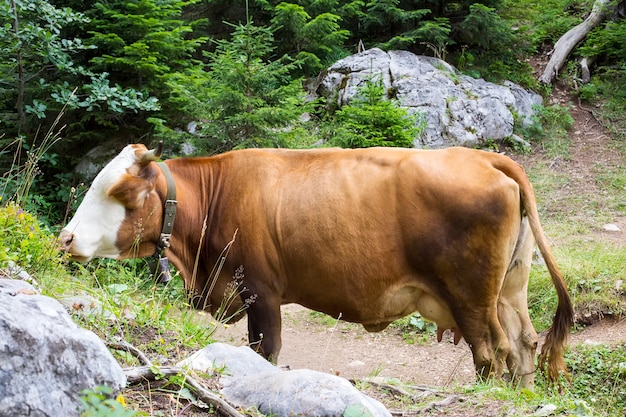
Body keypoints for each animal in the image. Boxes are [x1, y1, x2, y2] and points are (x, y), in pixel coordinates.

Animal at [59, 143, 572, 386]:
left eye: (121, 192)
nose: (65, 238)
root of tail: (486, 158)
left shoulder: (260, 293)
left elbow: (266, 351)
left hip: (472, 298)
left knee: (492, 352)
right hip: (509, 289)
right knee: (524, 343)